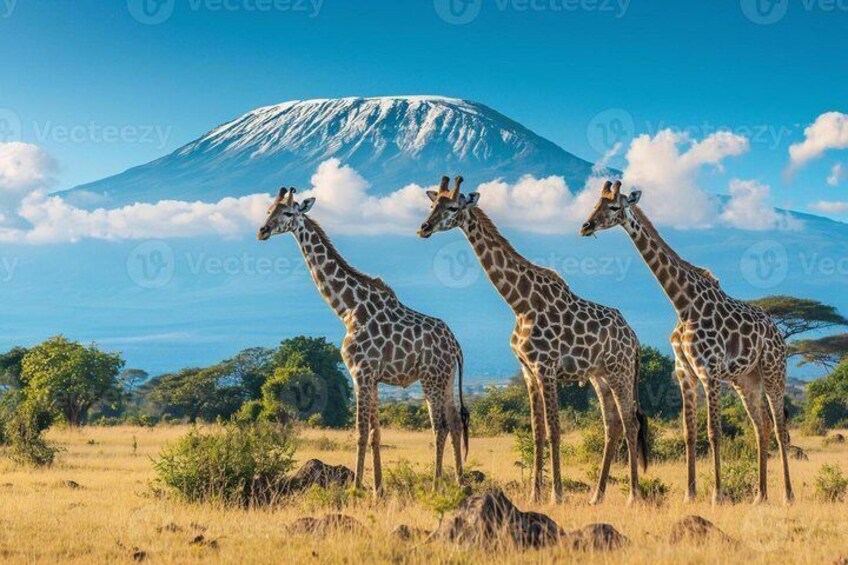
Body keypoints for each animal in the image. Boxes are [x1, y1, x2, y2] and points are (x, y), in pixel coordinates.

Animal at [258, 187, 470, 493]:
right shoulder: (374, 378)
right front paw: (378, 488)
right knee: (454, 423)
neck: (348, 309)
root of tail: (456, 346)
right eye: (267, 210)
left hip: (431, 378)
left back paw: (435, 484)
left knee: (439, 426)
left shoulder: (360, 372)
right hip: (448, 378)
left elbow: (360, 432)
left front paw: (357, 487)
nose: (262, 231)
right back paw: (460, 482)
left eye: (286, 213)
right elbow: (375, 433)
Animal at [418, 176, 648, 504]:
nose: (423, 228)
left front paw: (557, 494)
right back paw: (597, 496)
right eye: (432, 204)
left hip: (621, 371)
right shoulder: (528, 371)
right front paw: (534, 494)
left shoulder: (546, 368)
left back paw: (633, 496)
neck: (520, 304)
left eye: (451, 207)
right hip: (600, 376)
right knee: (613, 425)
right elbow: (537, 431)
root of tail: (634, 337)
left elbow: (554, 430)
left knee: (631, 423)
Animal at [580, 180, 794, 504]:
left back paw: (788, 495)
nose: (585, 226)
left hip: (772, 372)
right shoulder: (685, 373)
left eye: (614, 206)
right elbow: (688, 432)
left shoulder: (710, 372)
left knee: (780, 427)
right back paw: (760, 496)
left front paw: (717, 495)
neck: (684, 305)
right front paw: (689, 494)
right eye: (595, 203)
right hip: (746, 380)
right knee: (763, 426)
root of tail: (779, 335)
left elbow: (713, 431)